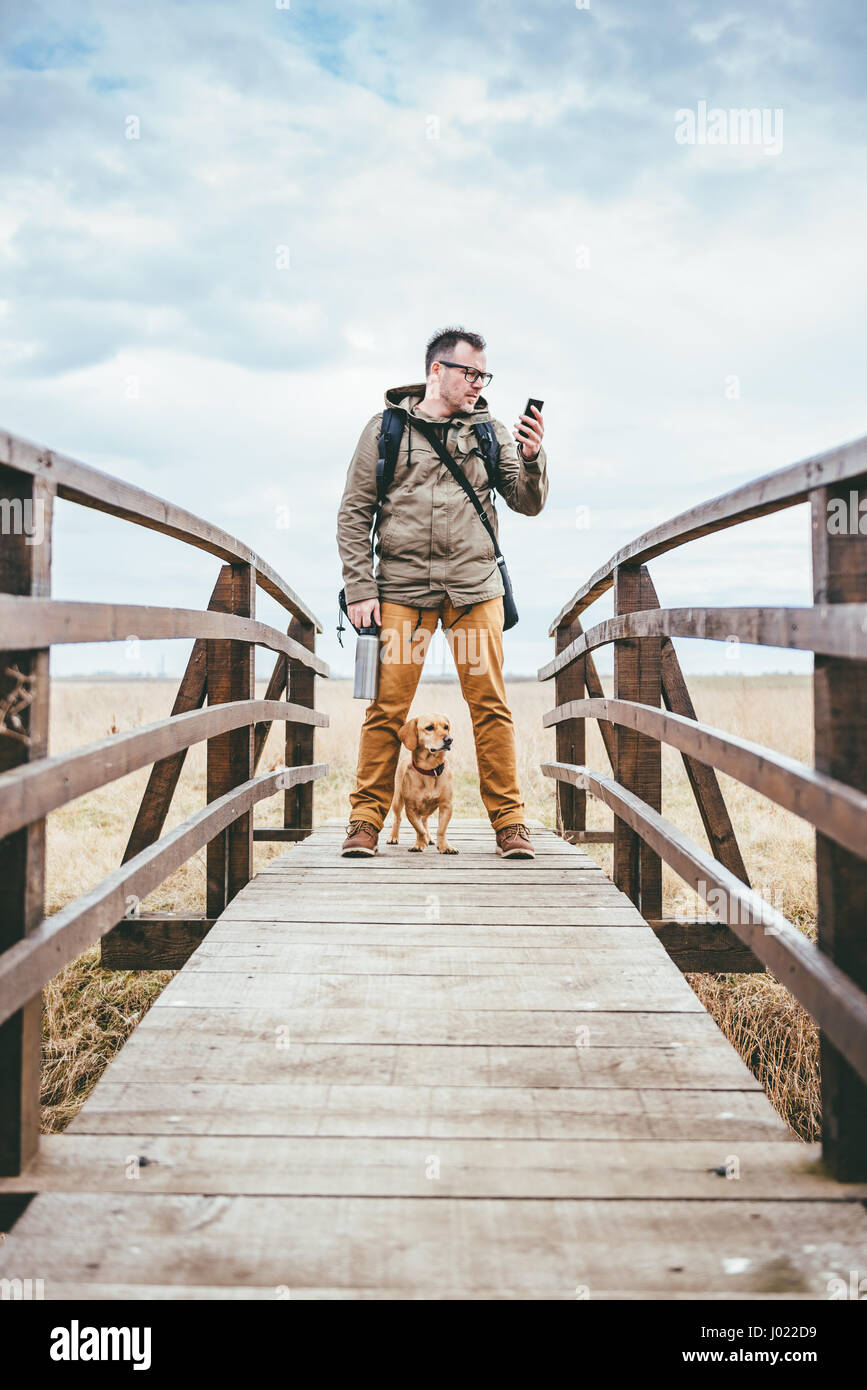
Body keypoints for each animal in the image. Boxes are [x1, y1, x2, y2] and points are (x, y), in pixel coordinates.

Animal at [389, 711, 458, 850]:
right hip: (397, 800)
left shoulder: (446, 806)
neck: (430, 770)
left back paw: (430, 838)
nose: (449, 739)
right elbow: (419, 829)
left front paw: (444, 846)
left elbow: (441, 829)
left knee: (424, 820)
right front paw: (420, 844)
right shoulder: (411, 809)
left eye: (446, 727)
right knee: (397, 818)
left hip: (430, 808)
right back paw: (393, 837)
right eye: (429, 727)